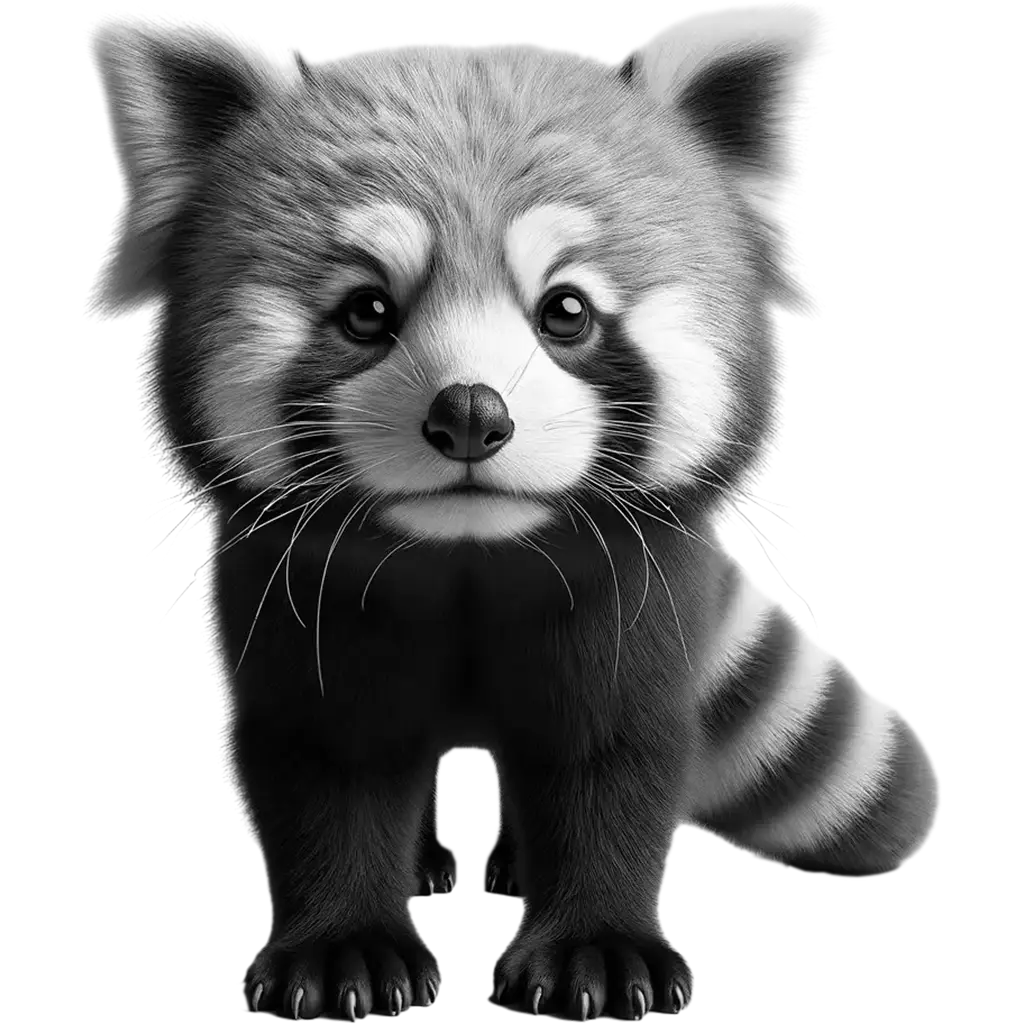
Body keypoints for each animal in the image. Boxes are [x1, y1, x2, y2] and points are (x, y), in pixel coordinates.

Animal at [87, 3, 941, 1020]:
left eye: (565, 311)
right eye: (366, 311)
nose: (468, 411)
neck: (468, 559)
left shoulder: (634, 596)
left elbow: (610, 758)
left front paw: (597, 950)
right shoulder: (295, 595)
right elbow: (326, 762)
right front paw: (340, 952)